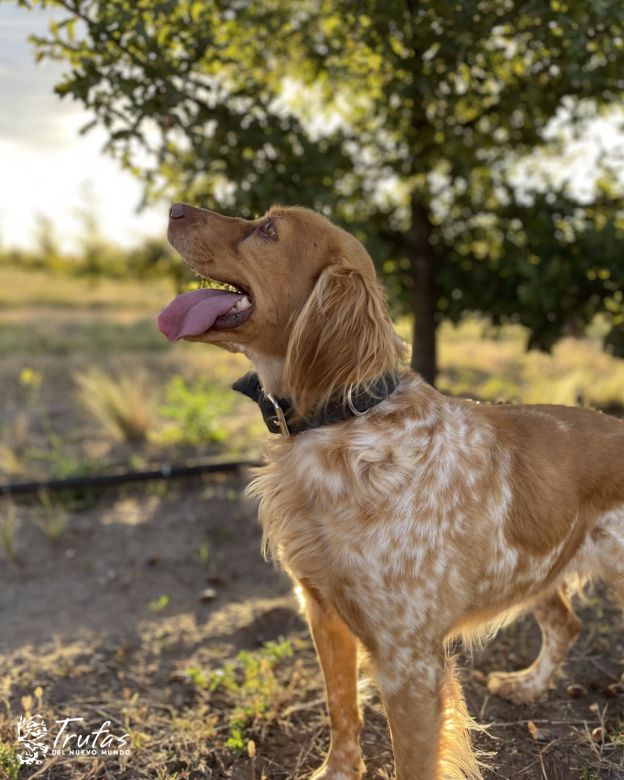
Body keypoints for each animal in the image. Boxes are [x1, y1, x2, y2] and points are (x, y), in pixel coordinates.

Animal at [157, 203, 624, 780]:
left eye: (267, 229)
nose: (175, 208)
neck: (346, 421)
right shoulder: (322, 611)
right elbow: (342, 711)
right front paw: (336, 771)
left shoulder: (410, 662)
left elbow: (411, 759)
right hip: (538, 571)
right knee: (565, 623)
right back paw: (528, 686)